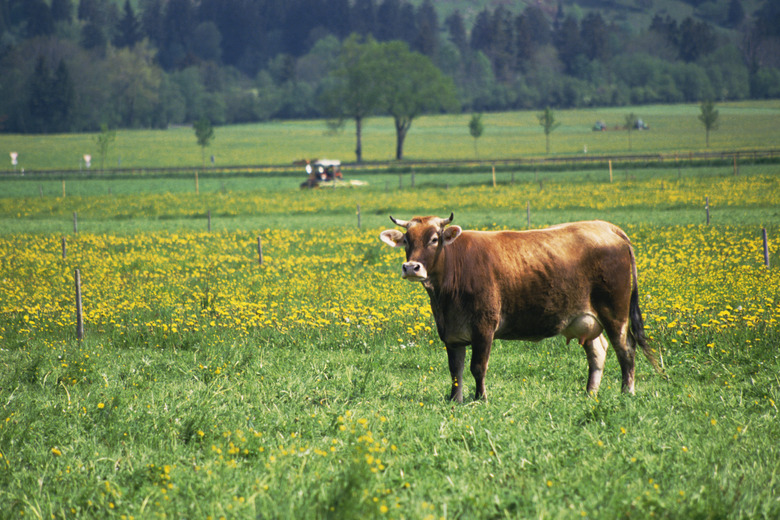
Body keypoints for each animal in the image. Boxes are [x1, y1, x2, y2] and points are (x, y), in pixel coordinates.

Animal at [380, 211, 660, 402]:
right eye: (407, 240)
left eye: (434, 239)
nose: (411, 267)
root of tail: (606, 227)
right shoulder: (451, 333)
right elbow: (455, 370)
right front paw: (454, 400)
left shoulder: (484, 327)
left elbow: (477, 367)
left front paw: (480, 398)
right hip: (588, 319)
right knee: (598, 352)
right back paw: (590, 394)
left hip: (615, 313)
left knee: (626, 349)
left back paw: (627, 392)